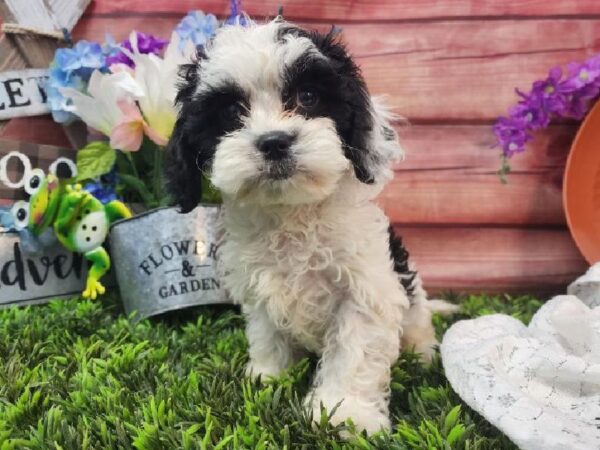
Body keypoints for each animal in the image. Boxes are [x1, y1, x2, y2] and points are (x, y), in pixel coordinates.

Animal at [166, 19, 442, 434]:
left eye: (308, 97)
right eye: (231, 111)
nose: (274, 142)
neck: (292, 214)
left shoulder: (364, 291)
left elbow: (354, 353)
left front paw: (345, 413)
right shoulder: (259, 288)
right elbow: (267, 334)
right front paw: (268, 376)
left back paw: (421, 355)